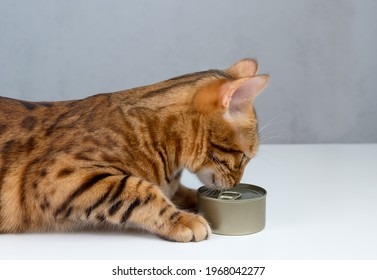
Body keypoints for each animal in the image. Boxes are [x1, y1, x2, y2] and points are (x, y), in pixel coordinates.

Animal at [0, 58, 270, 241]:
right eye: (244, 156)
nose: (236, 184)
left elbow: (181, 192)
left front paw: (196, 200)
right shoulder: (57, 176)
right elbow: (140, 190)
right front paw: (182, 219)